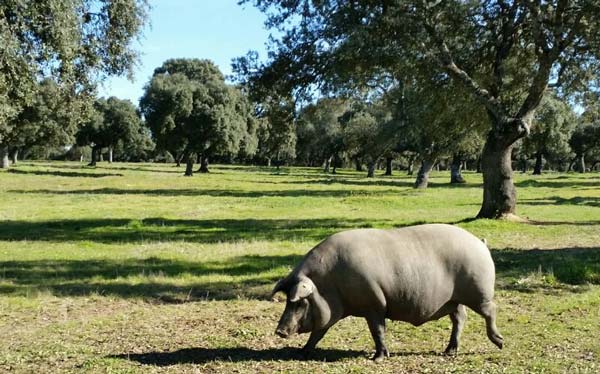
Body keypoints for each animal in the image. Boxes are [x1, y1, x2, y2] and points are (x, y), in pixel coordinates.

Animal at [270, 224, 502, 360]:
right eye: (287, 300)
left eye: (299, 301)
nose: (279, 331)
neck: (329, 282)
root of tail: (480, 242)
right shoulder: (333, 312)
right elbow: (319, 332)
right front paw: (302, 351)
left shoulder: (374, 304)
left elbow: (378, 331)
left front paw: (378, 358)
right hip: (453, 300)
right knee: (460, 318)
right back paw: (449, 352)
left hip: (479, 292)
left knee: (490, 310)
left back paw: (500, 343)